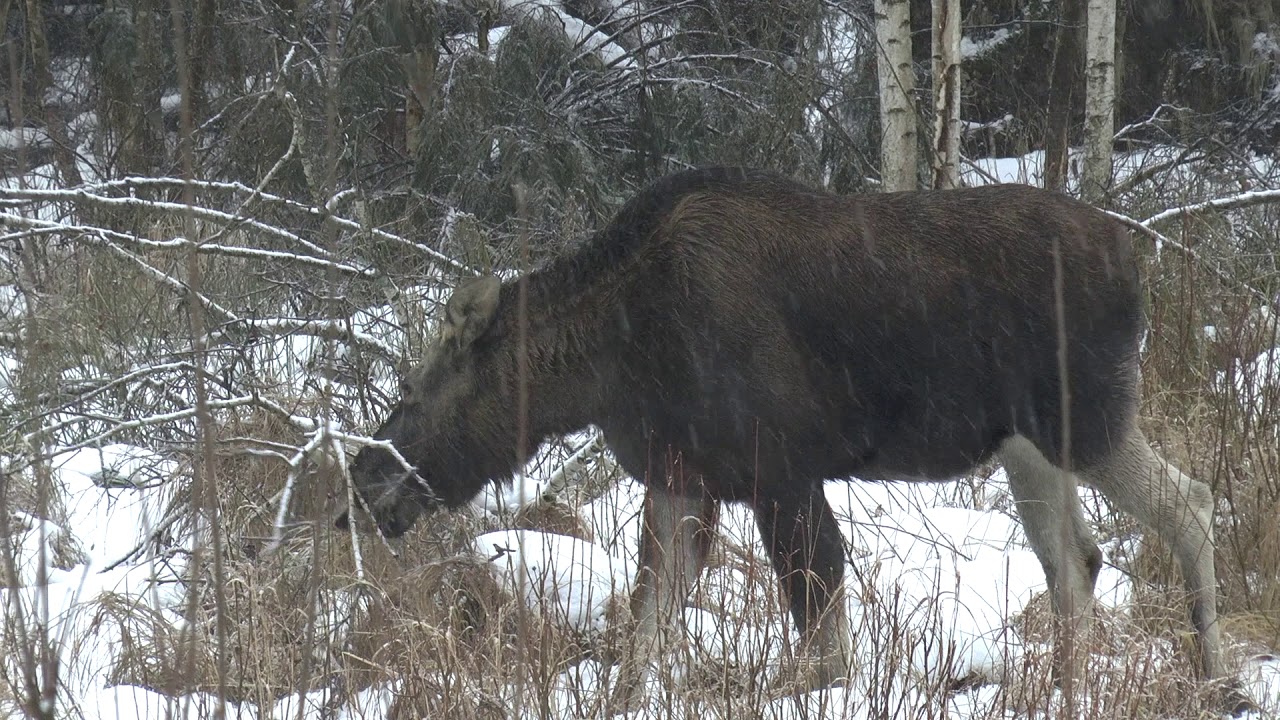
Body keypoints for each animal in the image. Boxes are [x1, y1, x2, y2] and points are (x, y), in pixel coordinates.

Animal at [340, 165, 1249, 707]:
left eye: (415, 393)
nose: (361, 483)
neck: (610, 364)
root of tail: (1136, 260)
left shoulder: (779, 471)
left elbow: (821, 632)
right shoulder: (683, 477)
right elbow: (644, 630)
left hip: (1084, 417)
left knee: (1191, 503)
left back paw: (1215, 675)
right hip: (1025, 444)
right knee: (1076, 563)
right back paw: (1063, 689)